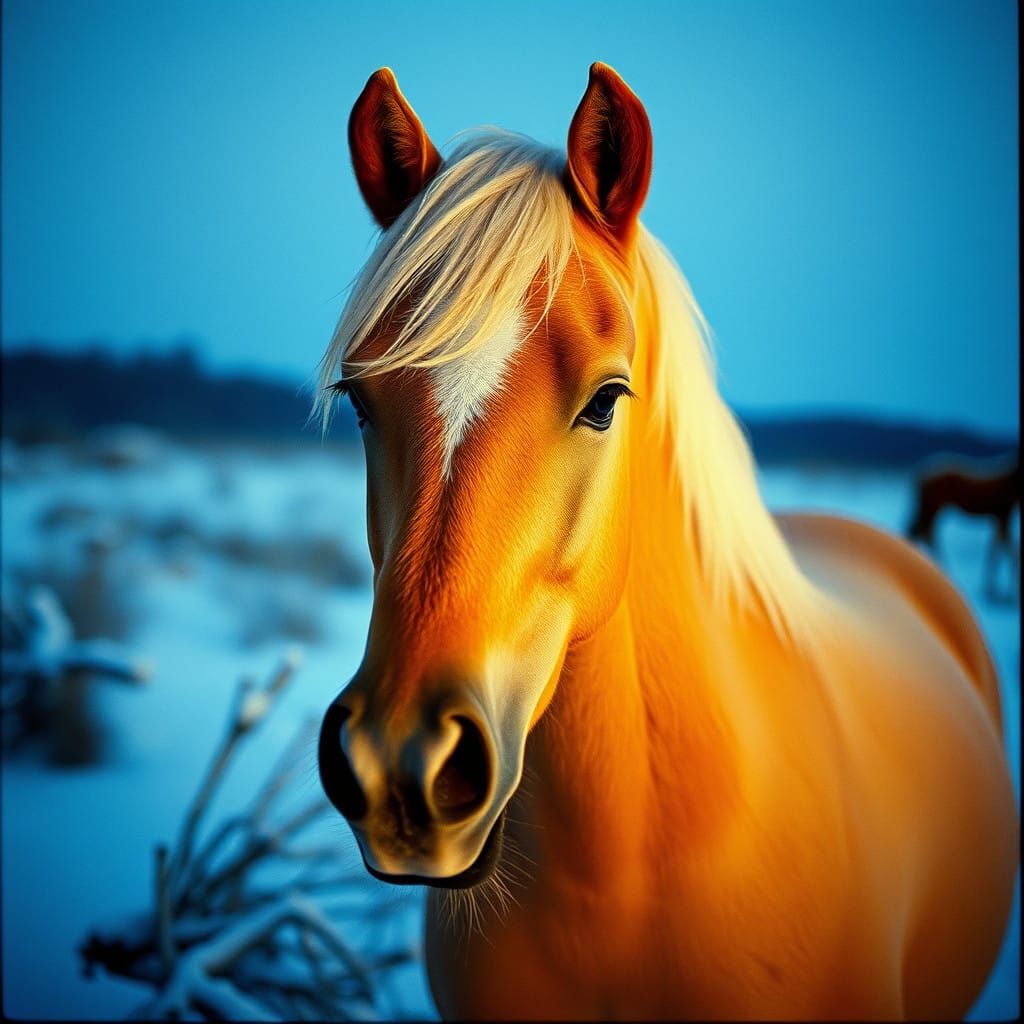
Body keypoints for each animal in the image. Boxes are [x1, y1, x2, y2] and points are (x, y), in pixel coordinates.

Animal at [907, 454, 1020, 598]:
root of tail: (922, 474)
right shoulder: (1003, 515)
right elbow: (1006, 548)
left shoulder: (999, 517)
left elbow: (998, 547)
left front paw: (992, 586)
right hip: (932, 508)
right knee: (924, 533)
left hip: (931, 509)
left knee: (921, 532)